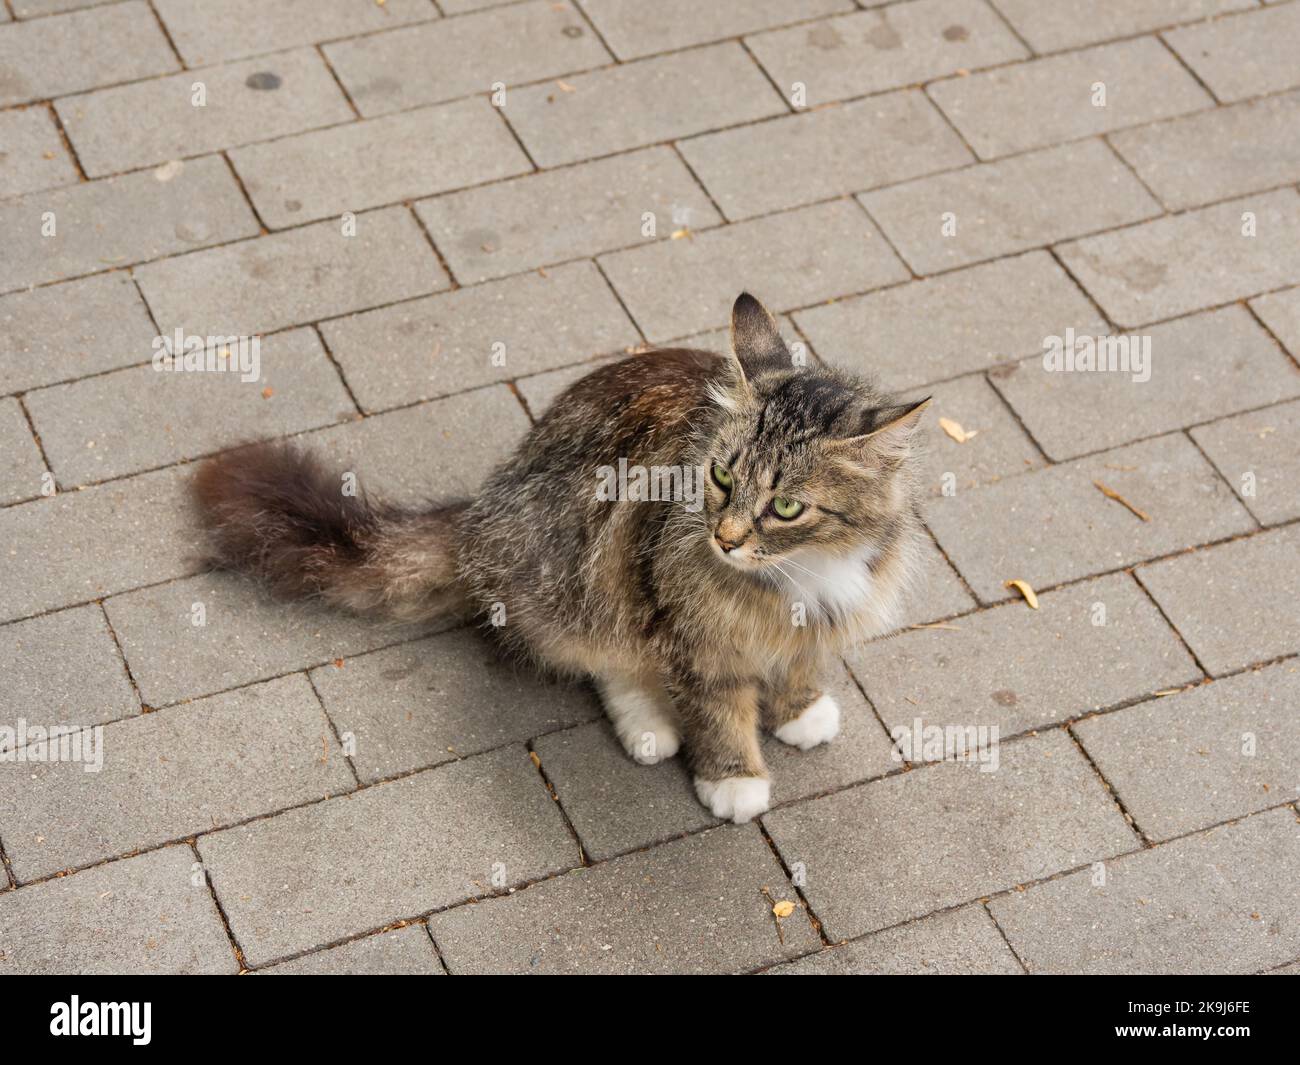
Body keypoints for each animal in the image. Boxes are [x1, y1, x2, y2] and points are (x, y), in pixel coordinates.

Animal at [192, 291, 930, 827]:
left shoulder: (823, 619)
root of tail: (481, 510)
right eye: (721, 476)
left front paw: (801, 711)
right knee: (608, 661)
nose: (723, 538)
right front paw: (735, 780)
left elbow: (801, 666)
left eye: (785, 506)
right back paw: (649, 726)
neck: (799, 573)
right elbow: (720, 712)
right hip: (585, 576)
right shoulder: (692, 636)